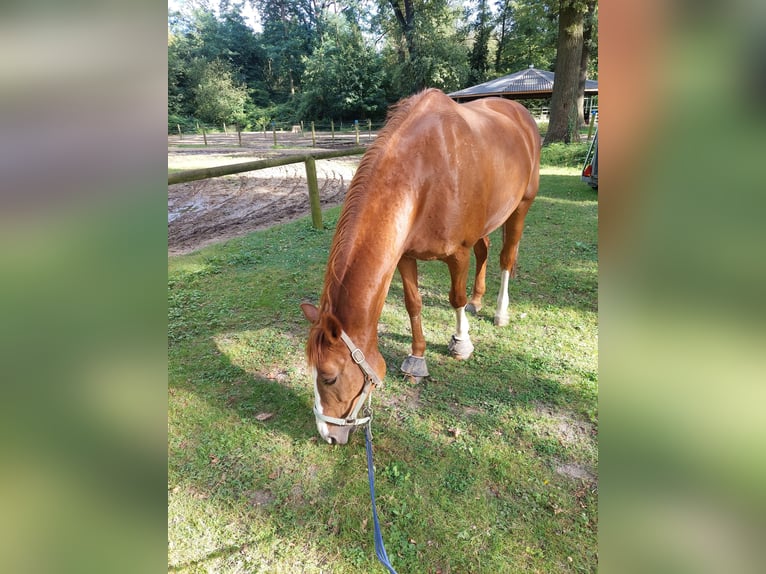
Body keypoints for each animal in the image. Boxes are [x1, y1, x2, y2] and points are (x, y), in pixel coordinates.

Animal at [300, 88, 540, 446]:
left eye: (329, 377)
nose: (327, 435)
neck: (424, 177)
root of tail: (521, 113)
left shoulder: (458, 254)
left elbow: (455, 299)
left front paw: (461, 343)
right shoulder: (405, 256)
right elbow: (413, 304)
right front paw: (417, 358)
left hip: (521, 208)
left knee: (506, 259)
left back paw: (499, 312)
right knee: (485, 253)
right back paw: (478, 300)